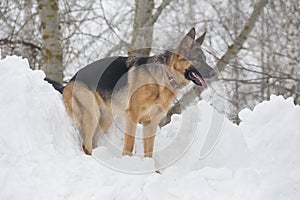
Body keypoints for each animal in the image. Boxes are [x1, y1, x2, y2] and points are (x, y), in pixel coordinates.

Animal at [45, 27, 217, 156]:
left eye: (205, 59)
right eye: (198, 60)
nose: (214, 73)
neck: (163, 77)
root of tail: (68, 83)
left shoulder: (150, 123)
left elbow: (149, 152)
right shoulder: (132, 116)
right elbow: (129, 145)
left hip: (106, 118)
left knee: (93, 142)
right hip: (91, 115)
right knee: (86, 145)